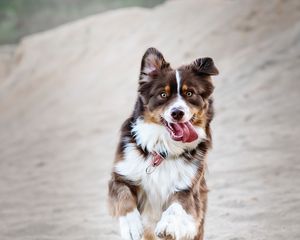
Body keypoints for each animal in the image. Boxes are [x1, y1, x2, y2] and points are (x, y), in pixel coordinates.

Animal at [108, 47, 218, 240]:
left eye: (189, 93)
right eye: (163, 94)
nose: (177, 113)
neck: (163, 149)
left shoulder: (189, 189)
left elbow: (177, 206)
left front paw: (168, 225)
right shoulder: (121, 176)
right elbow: (123, 196)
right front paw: (131, 226)